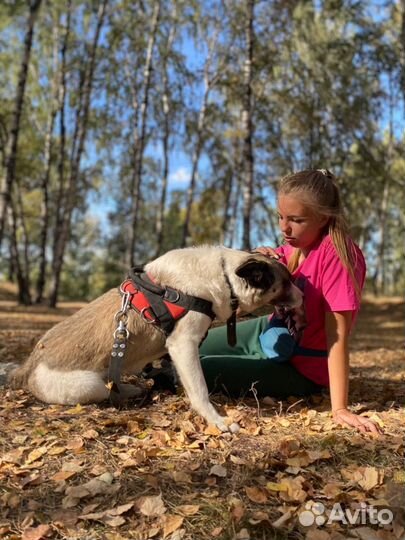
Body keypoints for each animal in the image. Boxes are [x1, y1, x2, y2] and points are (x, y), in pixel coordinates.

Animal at [8, 247, 304, 432]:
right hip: (88, 385)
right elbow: (200, 390)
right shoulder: (183, 345)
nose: (304, 295)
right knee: (105, 390)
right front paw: (216, 420)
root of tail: (28, 365)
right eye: (286, 281)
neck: (225, 277)